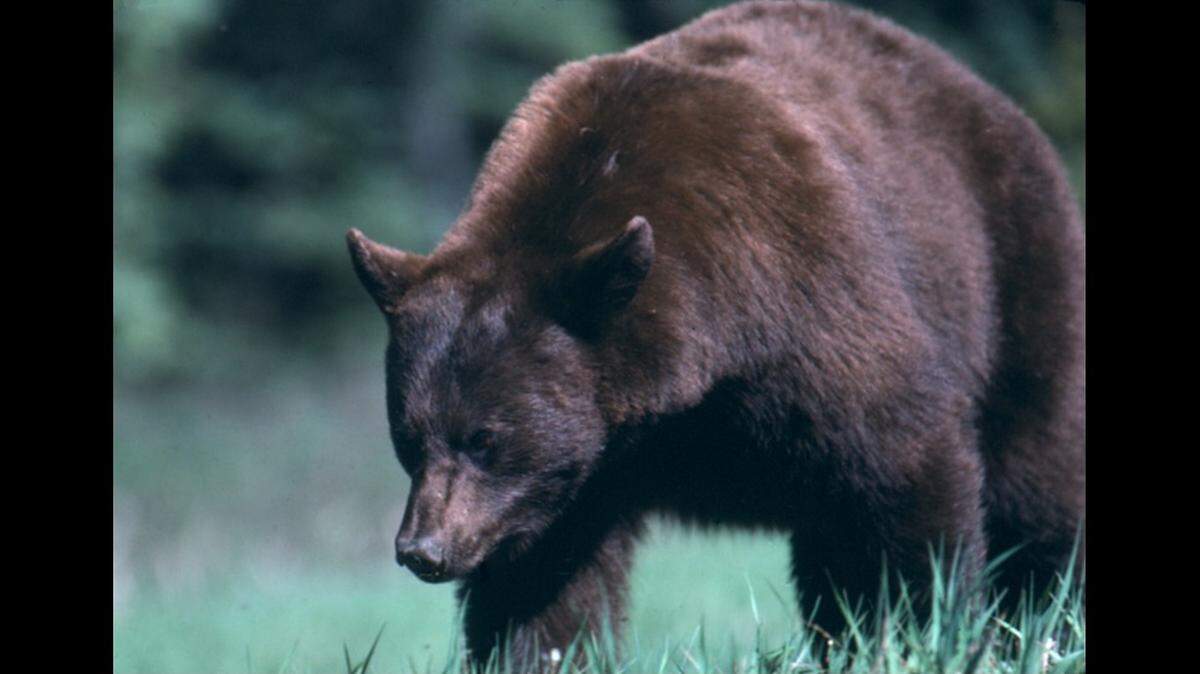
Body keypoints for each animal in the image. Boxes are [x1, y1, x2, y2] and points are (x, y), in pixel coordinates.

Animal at [346, 0, 1084, 668]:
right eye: (409, 438)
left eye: (485, 440)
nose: (422, 550)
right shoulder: (580, 472)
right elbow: (544, 582)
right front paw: (535, 650)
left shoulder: (810, 300)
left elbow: (904, 471)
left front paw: (918, 633)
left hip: (1017, 275)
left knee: (1038, 476)